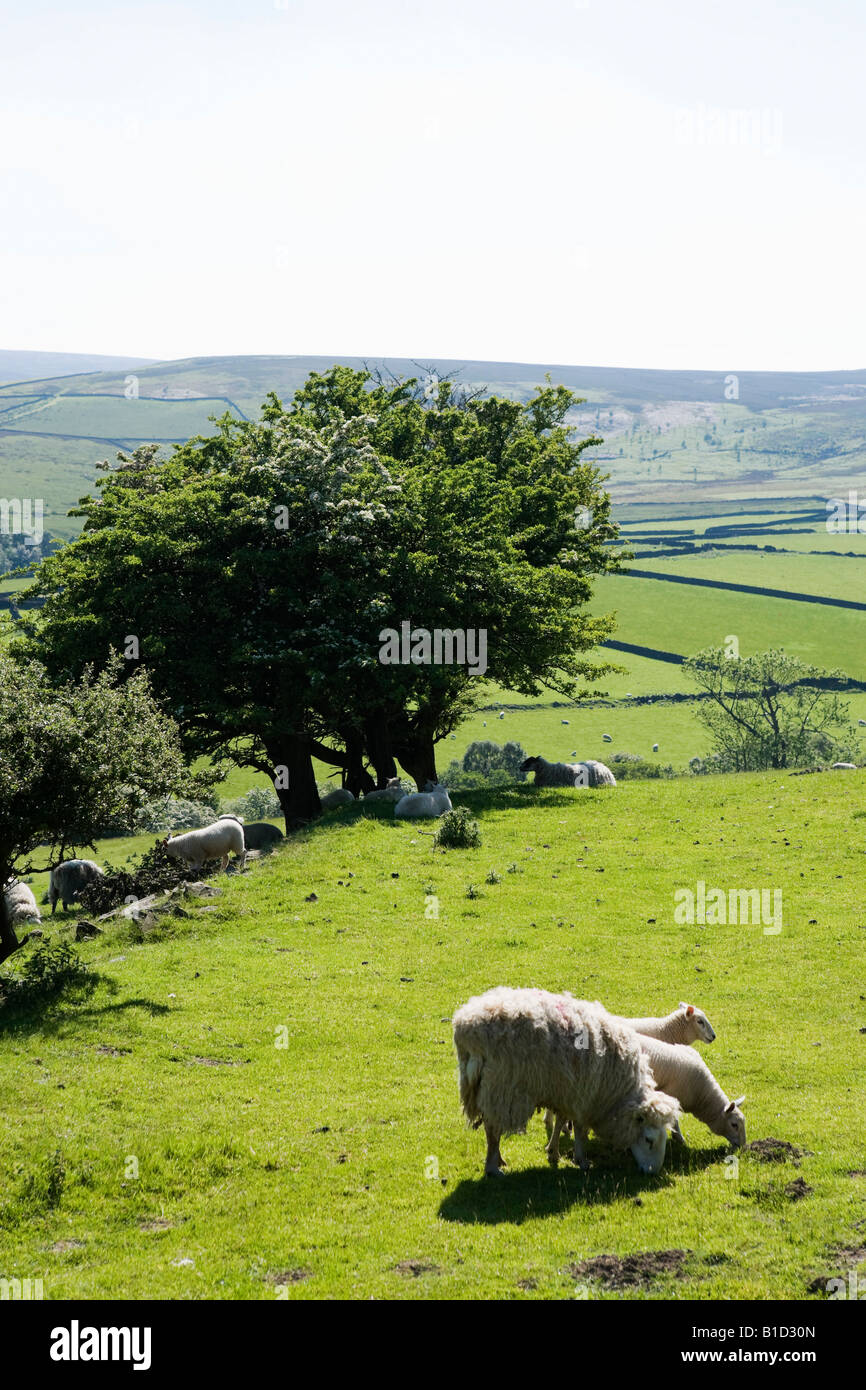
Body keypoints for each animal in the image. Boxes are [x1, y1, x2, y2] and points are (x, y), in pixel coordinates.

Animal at [450, 984, 681, 1178]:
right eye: (649, 1140)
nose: (653, 1172)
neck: (617, 1093)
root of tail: (466, 1026)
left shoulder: (565, 1089)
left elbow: (561, 1120)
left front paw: (553, 1150)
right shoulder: (584, 1095)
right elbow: (578, 1128)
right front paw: (581, 1159)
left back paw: (498, 1160)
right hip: (500, 1087)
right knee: (492, 1129)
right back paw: (493, 1166)